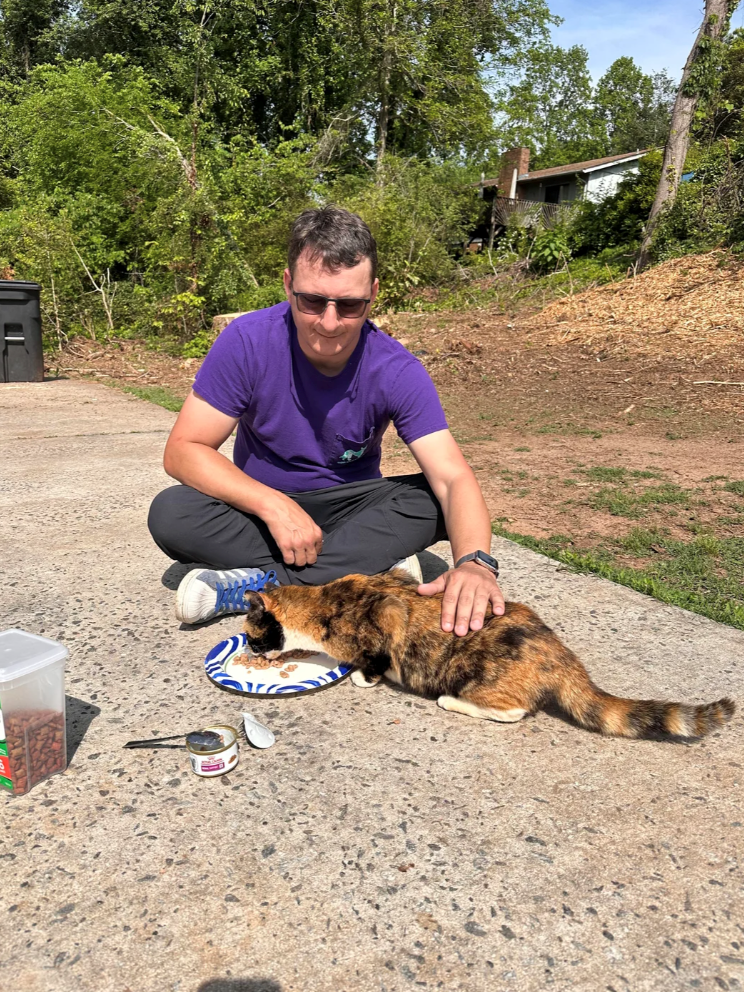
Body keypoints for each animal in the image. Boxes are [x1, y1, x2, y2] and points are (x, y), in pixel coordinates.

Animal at [241, 571, 735, 740]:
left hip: (476, 675)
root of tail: (562, 654)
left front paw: (364, 675)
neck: (322, 601)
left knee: (513, 711)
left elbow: (373, 656)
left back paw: (450, 701)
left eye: (251, 637)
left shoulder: (386, 612)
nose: (250, 651)